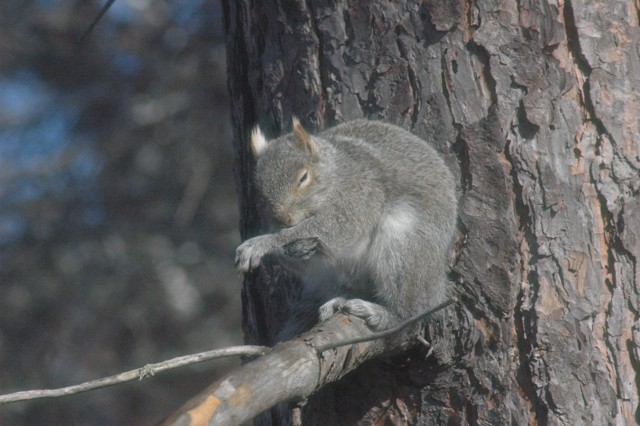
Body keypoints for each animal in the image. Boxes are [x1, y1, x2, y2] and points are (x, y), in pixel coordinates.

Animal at [236, 118, 458, 339]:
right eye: (258, 188)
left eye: (303, 177)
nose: (282, 219)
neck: (335, 173)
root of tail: (437, 283)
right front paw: (288, 249)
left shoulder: (358, 196)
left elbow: (335, 227)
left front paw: (263, 243)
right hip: (331, 277)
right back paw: (339, 300)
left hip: (404, 246)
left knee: (409, 311)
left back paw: (382, 314)